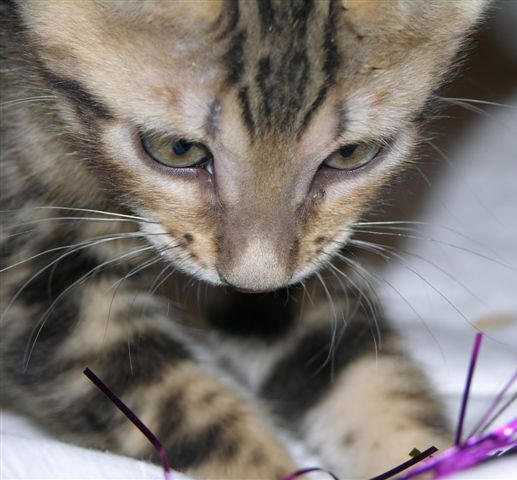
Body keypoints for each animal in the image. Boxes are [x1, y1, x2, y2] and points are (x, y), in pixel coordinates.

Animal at [0, 0, 490, 480]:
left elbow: (351, 364)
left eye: (352, 154)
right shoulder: (38, 284)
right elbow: (182, 412)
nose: (255, 281)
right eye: (177, 149)